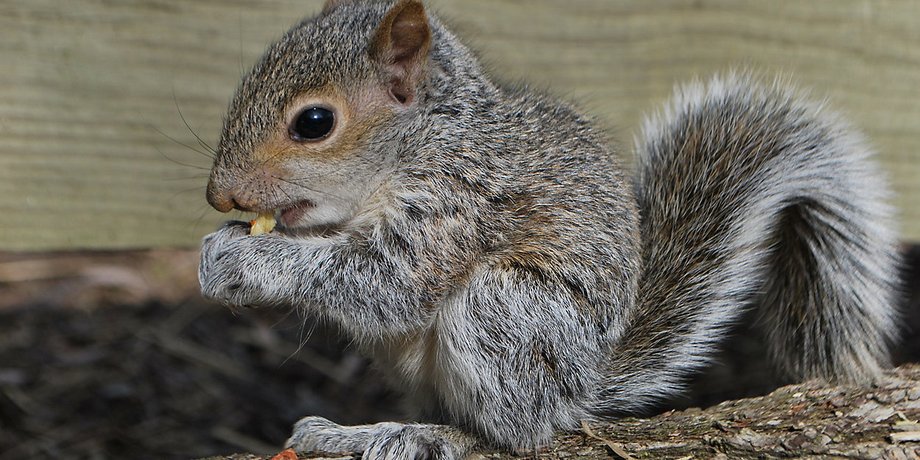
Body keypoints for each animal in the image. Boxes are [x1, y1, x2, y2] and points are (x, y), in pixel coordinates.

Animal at [198, 0, 901, 458]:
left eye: (314, 122)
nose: (218, 194)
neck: (417, 144)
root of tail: (580, 387)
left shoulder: (459, 203)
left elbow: (387, 282)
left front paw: (243, 263)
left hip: (506, 312)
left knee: (514, 432)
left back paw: (426, 435)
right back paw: (347, 434)